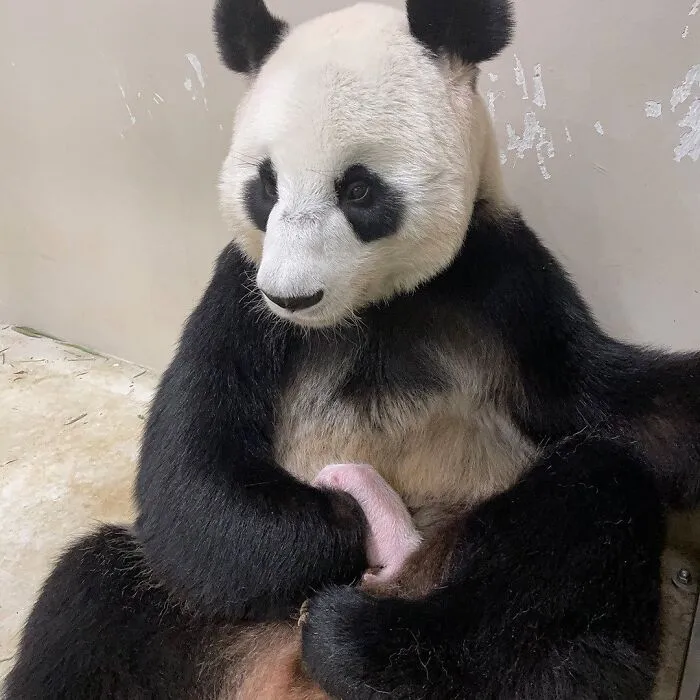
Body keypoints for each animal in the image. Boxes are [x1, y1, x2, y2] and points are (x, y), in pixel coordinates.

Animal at [5, 0, 700, 698]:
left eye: (358, 189)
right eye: (266, 185)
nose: (292, 296)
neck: (372, 308)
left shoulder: (504, 282)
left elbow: (614, 403)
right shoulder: (239, 301)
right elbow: (193, 472)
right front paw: (342, 517)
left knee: (582, 524)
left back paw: (361, 645)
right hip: (194, 617)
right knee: (95, 599)